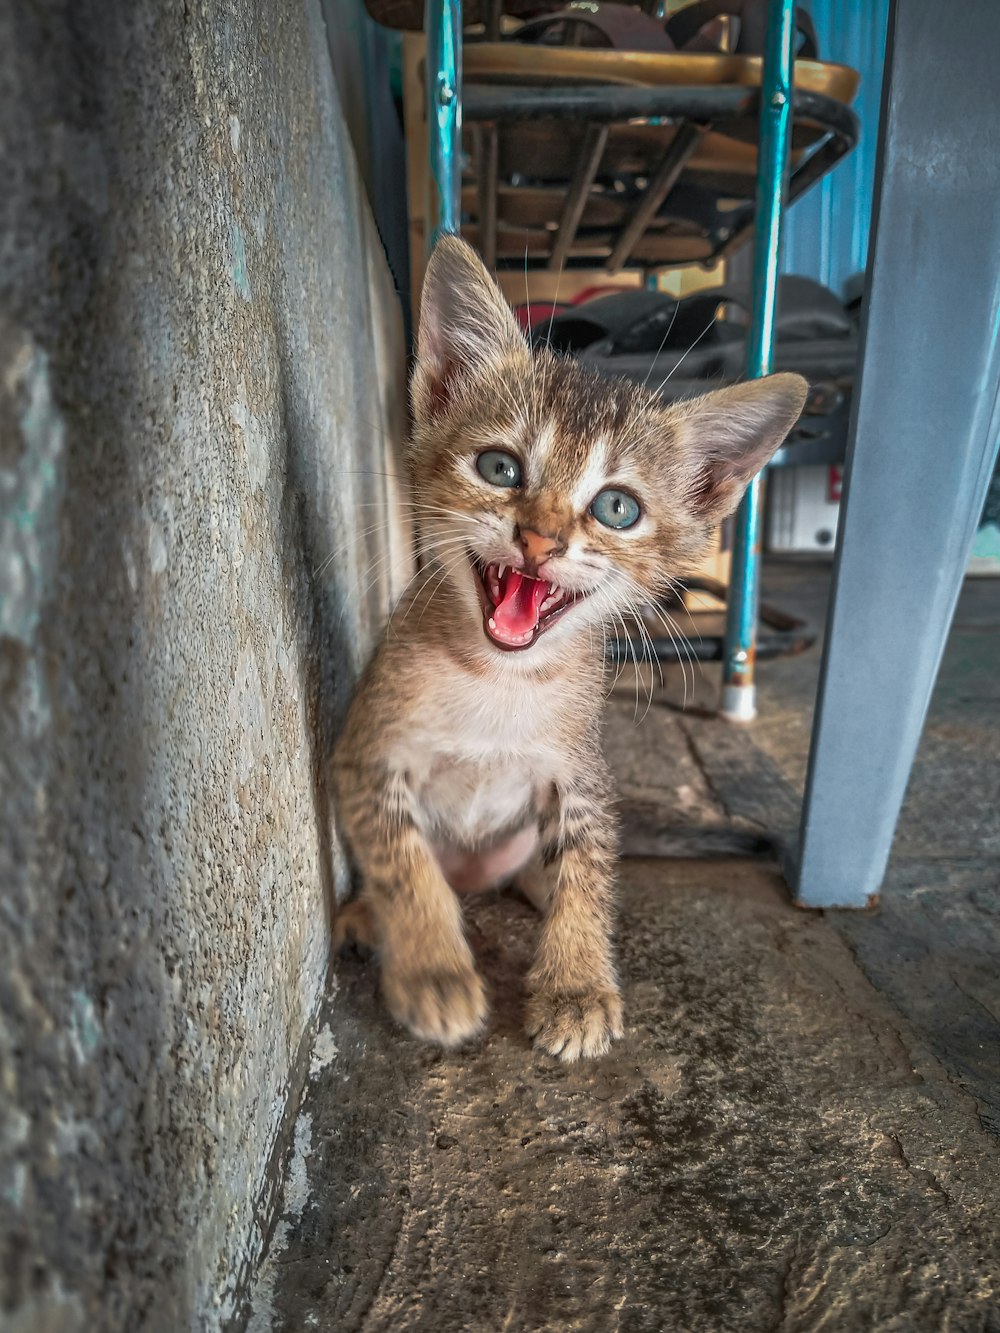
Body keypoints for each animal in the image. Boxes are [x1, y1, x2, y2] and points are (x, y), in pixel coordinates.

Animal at [333, 234, 810, 1055]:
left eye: (616, 509)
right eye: (499, 467)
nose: (540, 538)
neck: (497, 679)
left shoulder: (581, 775)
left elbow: (589, 869)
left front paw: (577, 980)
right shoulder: (366, 759)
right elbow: (403, 860)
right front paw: (432, 969)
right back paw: (373, 918)